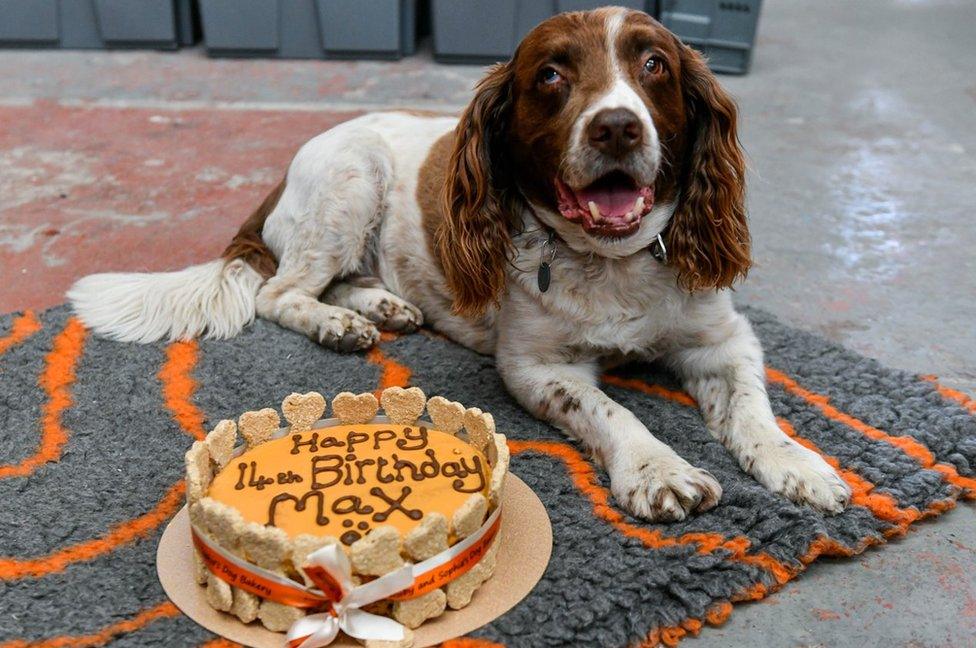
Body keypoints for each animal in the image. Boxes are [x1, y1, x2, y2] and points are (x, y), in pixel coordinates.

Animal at [68, 6, 852, 520]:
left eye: (654, 64)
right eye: (552, 74)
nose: (617, 127)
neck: (614, 262)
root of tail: (291, 165)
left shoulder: (723, 341)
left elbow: (753, 410)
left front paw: (797, 464)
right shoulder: (536, 367)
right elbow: (613, 409)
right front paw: (659, 470)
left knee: (343, 279)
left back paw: (380, 307)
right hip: (353, 178)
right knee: (281, 291)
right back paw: (337, 326)